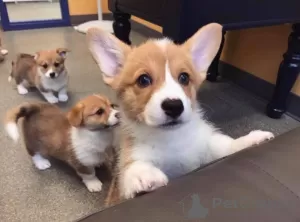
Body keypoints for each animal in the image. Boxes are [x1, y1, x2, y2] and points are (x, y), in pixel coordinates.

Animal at [86, 23, 274, 206]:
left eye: (184, 77)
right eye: (143, 80)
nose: (174, 106)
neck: (171, 139)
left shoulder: (207, 147)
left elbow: (228, 146)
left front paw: (253, 139)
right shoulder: (133, 157)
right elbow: (132, 167)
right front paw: (143, 174)